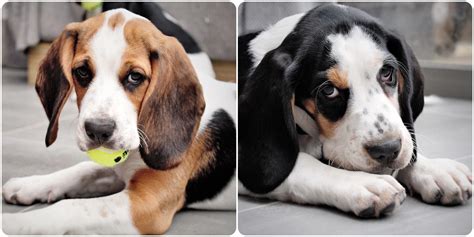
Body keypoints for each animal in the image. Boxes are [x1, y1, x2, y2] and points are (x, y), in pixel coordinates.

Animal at [1, 8, 235, 234]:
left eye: (135, 76)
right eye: (82, 71)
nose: (98, 130)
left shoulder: (147, 203)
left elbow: (71, 206)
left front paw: (13, 223)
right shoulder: (117, 171)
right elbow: (83, 170)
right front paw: (30, 184)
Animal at [239, 4, 472, 218]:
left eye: (387, 73)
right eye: (329, 90)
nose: (387, 149)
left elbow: (409, 149)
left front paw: (436, 170)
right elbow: (300, 162)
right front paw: (362, 183)